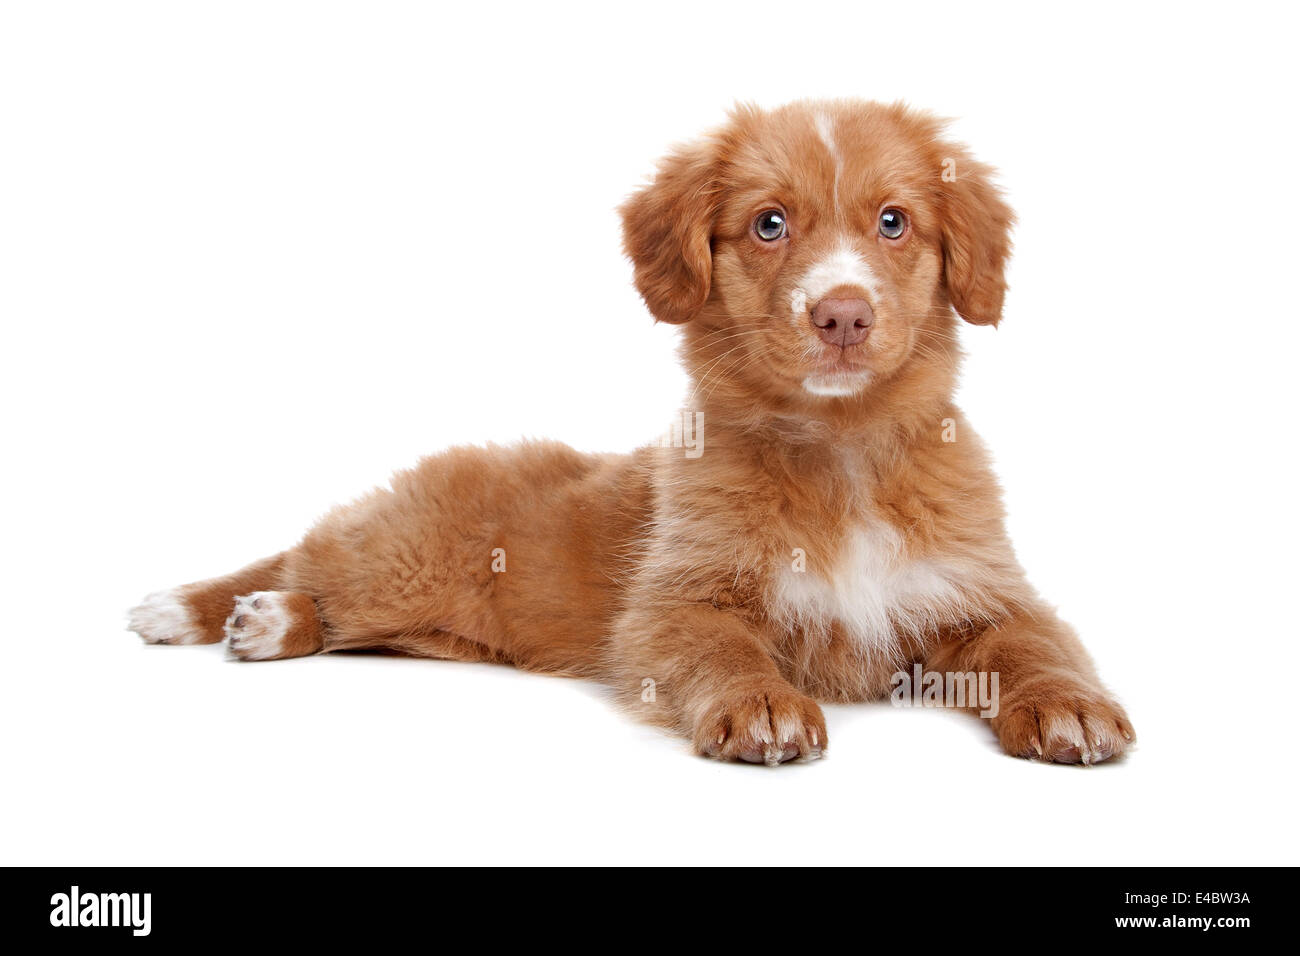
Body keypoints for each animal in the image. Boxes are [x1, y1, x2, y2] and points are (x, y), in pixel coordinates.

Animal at [126, 98, 1133, 764]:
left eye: (894, 222)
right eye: (769, 224)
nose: (842, 314)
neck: (838, 450)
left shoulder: (982, 592)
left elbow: (1035, 644)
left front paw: (1072, 706)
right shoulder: (673, 601)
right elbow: (724, 646)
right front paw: (762, 706)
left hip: (430, 625)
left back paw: (271, 623)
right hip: (398, 556)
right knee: (304, 562)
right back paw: (225, 612)